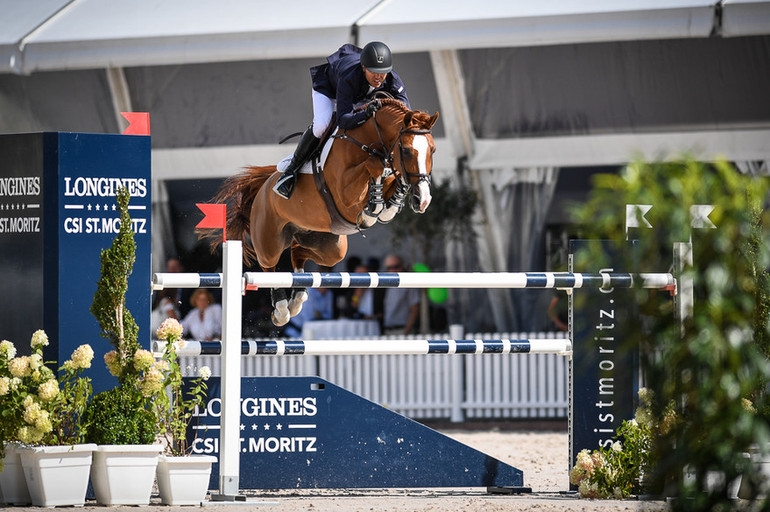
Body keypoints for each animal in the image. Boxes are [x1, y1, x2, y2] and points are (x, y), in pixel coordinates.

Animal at [204, 98, 438, 326]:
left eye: (433, 150)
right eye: (406, 150)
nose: (423, 200)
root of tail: (264, 186)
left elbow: (390, 187)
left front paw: (388, 200)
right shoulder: (346, 192)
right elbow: (375, 168)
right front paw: (372, 204)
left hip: (329, 246)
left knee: (297, 253)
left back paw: (298, 298)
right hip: (269, 241)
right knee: (269, 267)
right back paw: (281, 311)